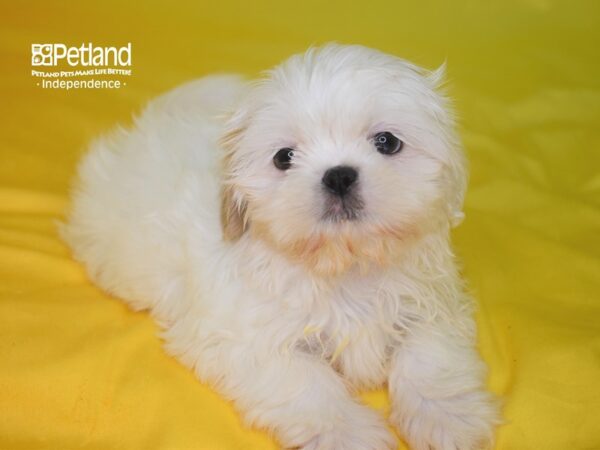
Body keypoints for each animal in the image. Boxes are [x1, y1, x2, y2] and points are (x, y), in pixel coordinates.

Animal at [63, 43, 500, 450]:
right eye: (284, 157)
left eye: (387, 142)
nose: (338, 176)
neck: (346, 268)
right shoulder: (249, 340)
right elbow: (308, 384)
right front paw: (347, 435)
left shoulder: (433, 306)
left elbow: (430, 358)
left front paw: (448, 417)